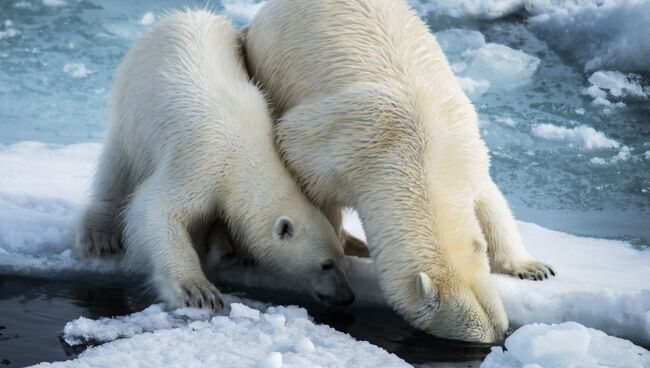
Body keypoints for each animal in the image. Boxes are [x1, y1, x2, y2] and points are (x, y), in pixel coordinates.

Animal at [75, 10, 352, 310]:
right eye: (326, 264)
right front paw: (198, 290)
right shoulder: (201, 162)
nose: (347, 296)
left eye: (341, 259)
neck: (245, 150)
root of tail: (184, 14)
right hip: (132, 102)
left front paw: (229, 250)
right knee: (118, 166)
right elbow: (156, 208)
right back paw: (100, 236)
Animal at [243, 0, 552, 342]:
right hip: (272, 60)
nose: (495, 344)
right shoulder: (330, 146)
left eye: (499, 332)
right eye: (472, 340)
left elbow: (491, 202)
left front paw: (533, 268)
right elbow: (317, 194)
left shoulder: (466, 153)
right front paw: (343, 246)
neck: (420, 158)